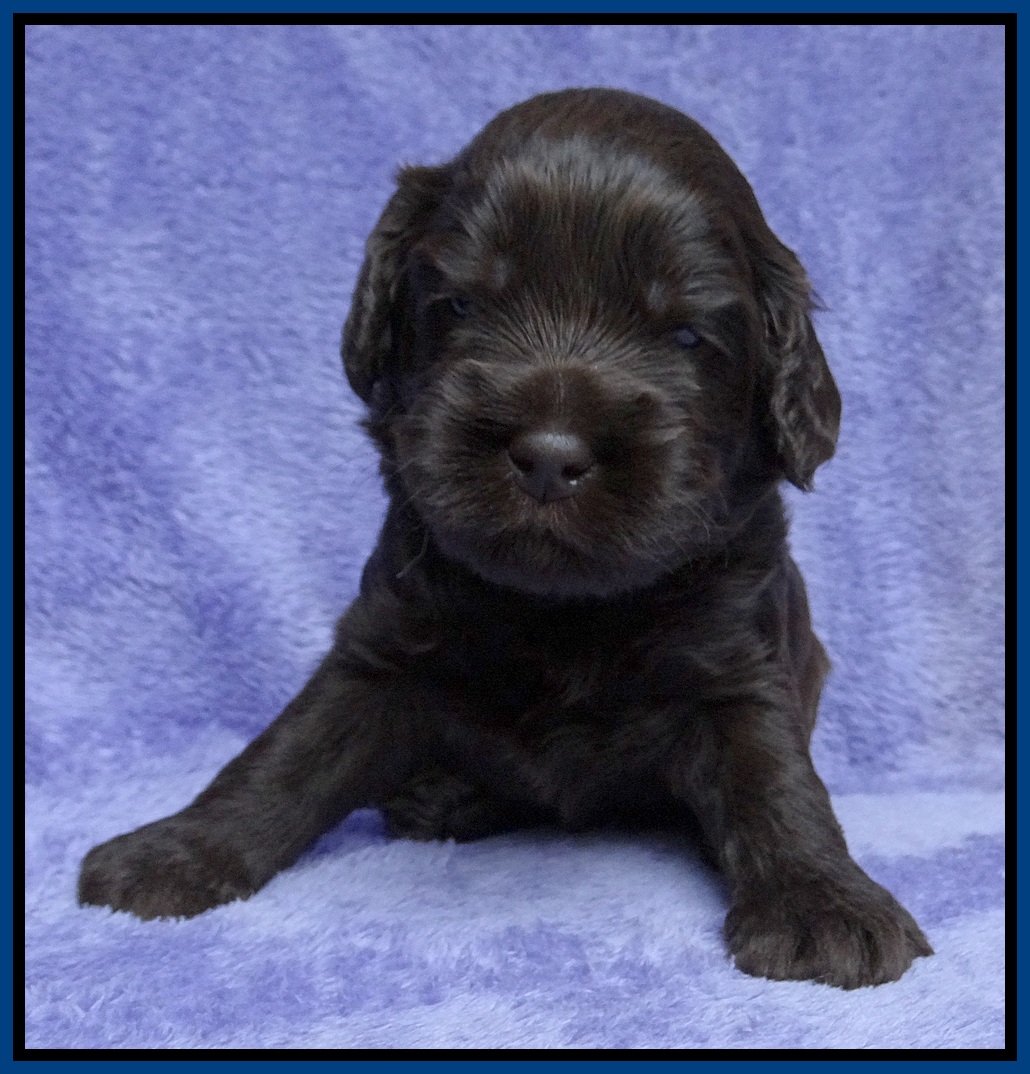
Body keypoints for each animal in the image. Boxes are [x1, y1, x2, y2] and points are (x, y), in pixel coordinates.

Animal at [79, 87, 932, 989]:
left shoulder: (738, 662)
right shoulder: (384, 644)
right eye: (462, 305)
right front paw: (177, 849)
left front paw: (822, 901)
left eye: (685, 336)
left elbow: (773, 778)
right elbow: (289, 752)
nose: (550, 456)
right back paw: (444, 795)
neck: (561, 606)